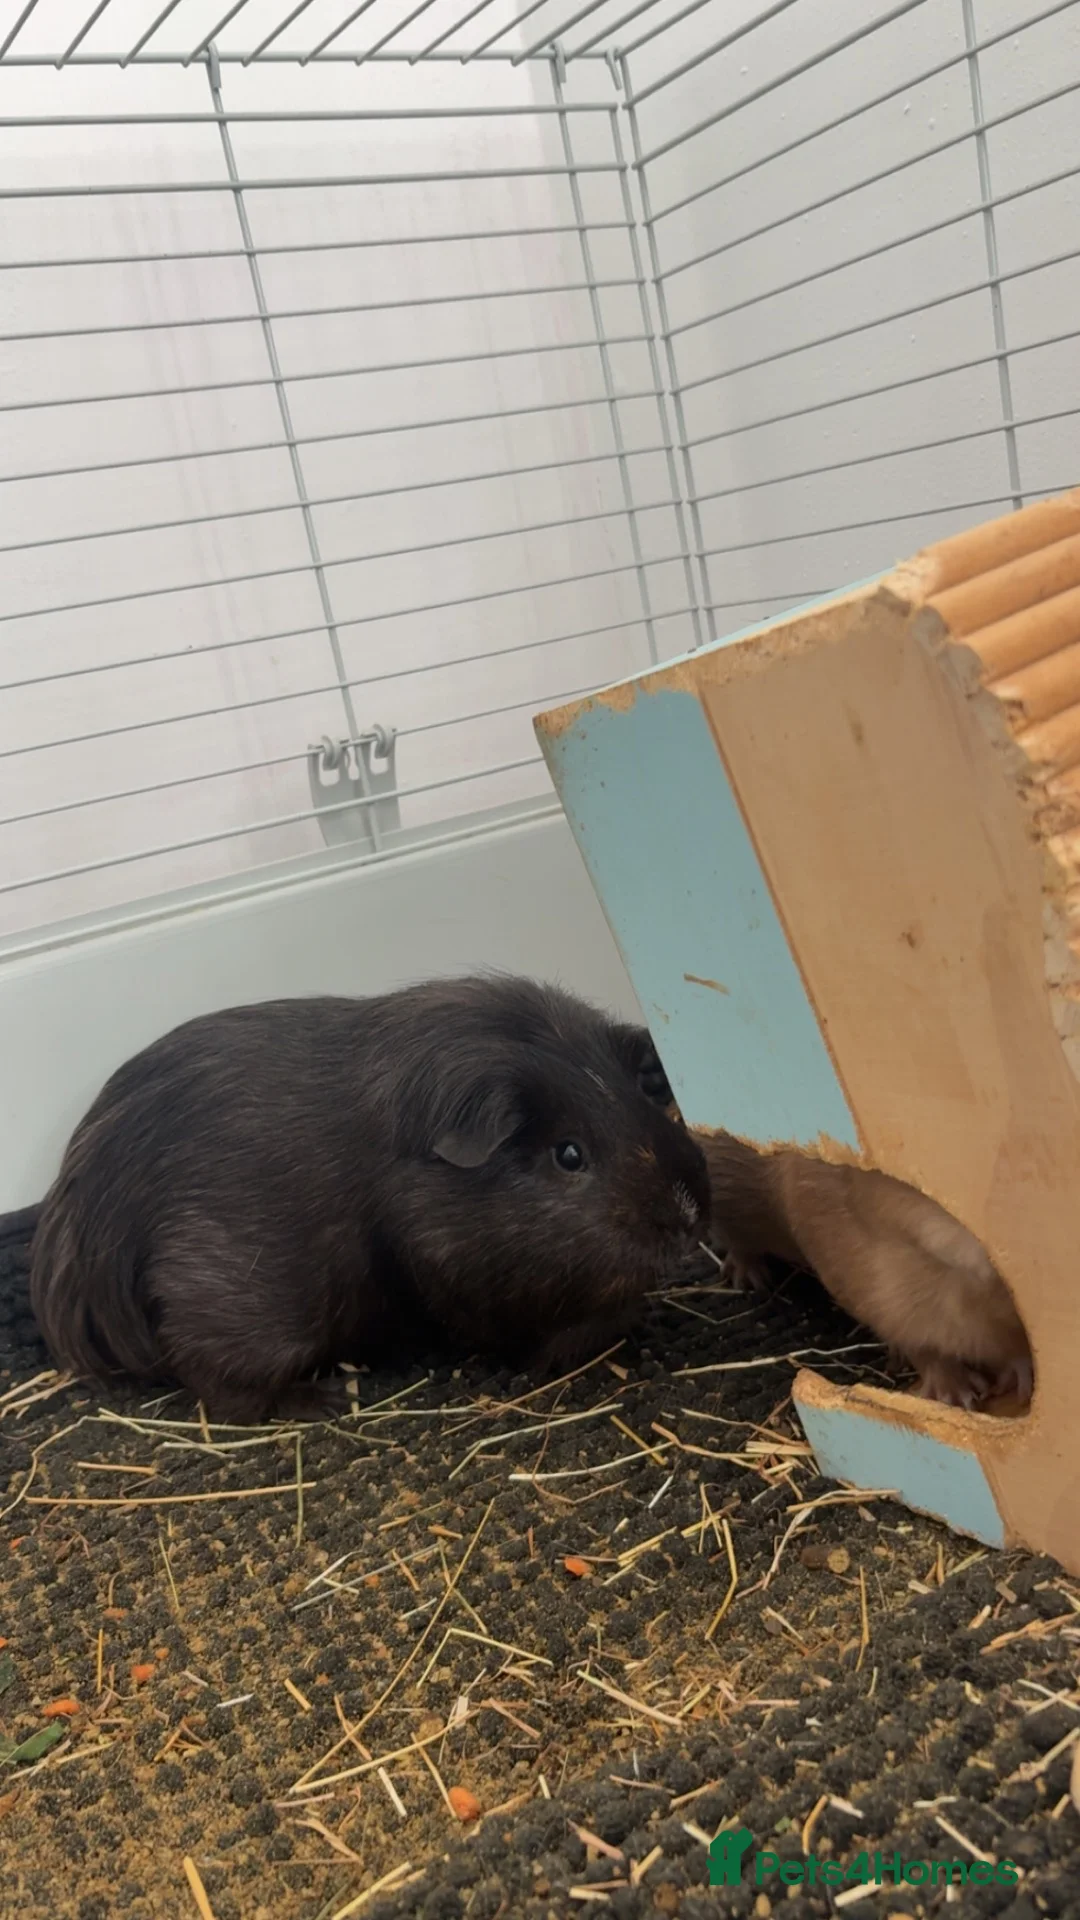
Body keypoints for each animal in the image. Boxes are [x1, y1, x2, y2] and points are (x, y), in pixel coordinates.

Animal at [30, 975, 710, 1423]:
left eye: (645, 1100)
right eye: (569, 1154)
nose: (691, 1212)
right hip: (242, 1321)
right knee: (224, 1390)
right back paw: (327, 1399)